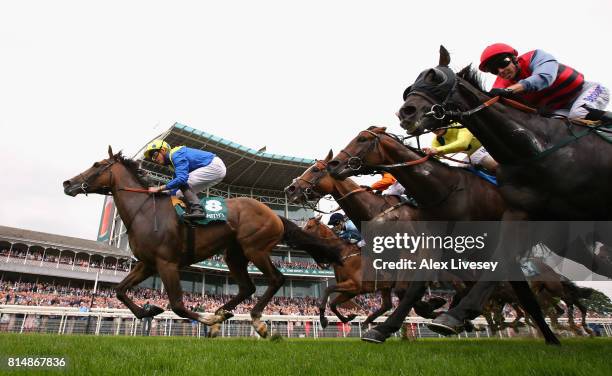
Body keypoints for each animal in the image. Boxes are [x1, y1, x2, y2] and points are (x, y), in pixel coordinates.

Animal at [63, 145, 344, 336]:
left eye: (97, 164)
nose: (68, 183)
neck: (144, 210)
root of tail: (274, 213)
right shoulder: (148, 264)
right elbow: (120, 290)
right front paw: (149, 310)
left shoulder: (166, 263)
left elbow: (177, 304)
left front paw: (205, 320)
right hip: (234, 255)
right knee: (247, 288)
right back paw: (222, 313)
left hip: (255, 249)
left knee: (276, 279)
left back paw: (252, 319)